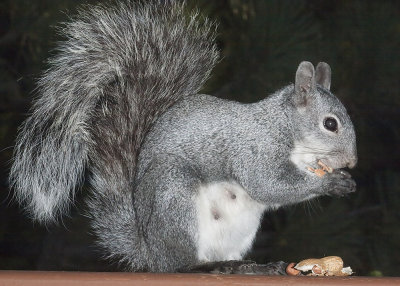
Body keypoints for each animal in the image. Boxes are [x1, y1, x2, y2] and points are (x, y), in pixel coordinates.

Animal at [10, 0, 358, 272]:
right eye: (330, 124)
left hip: (240, 228)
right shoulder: (255, 148)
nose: (352, 162)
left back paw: (252, 266)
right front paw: (331, 183)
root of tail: (150, 251)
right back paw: (205, 266)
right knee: (180, 263)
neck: (285, 129)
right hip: (175, 198)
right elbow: (268, 184)